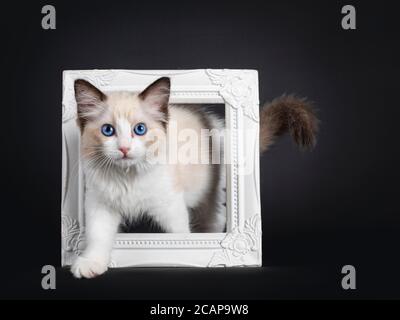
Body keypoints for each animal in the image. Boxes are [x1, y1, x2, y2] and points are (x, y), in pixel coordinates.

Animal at [70, 77, 318, 278]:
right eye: (108, 131)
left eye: (140, 129)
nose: (124, 149)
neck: (127, 177)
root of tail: (219, 128)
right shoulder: (100, 204)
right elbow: (98, 236)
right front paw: (90, 265)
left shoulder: (170, 207)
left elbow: (180, 236)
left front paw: (184, 256)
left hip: (210, 195)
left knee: (215, 218)